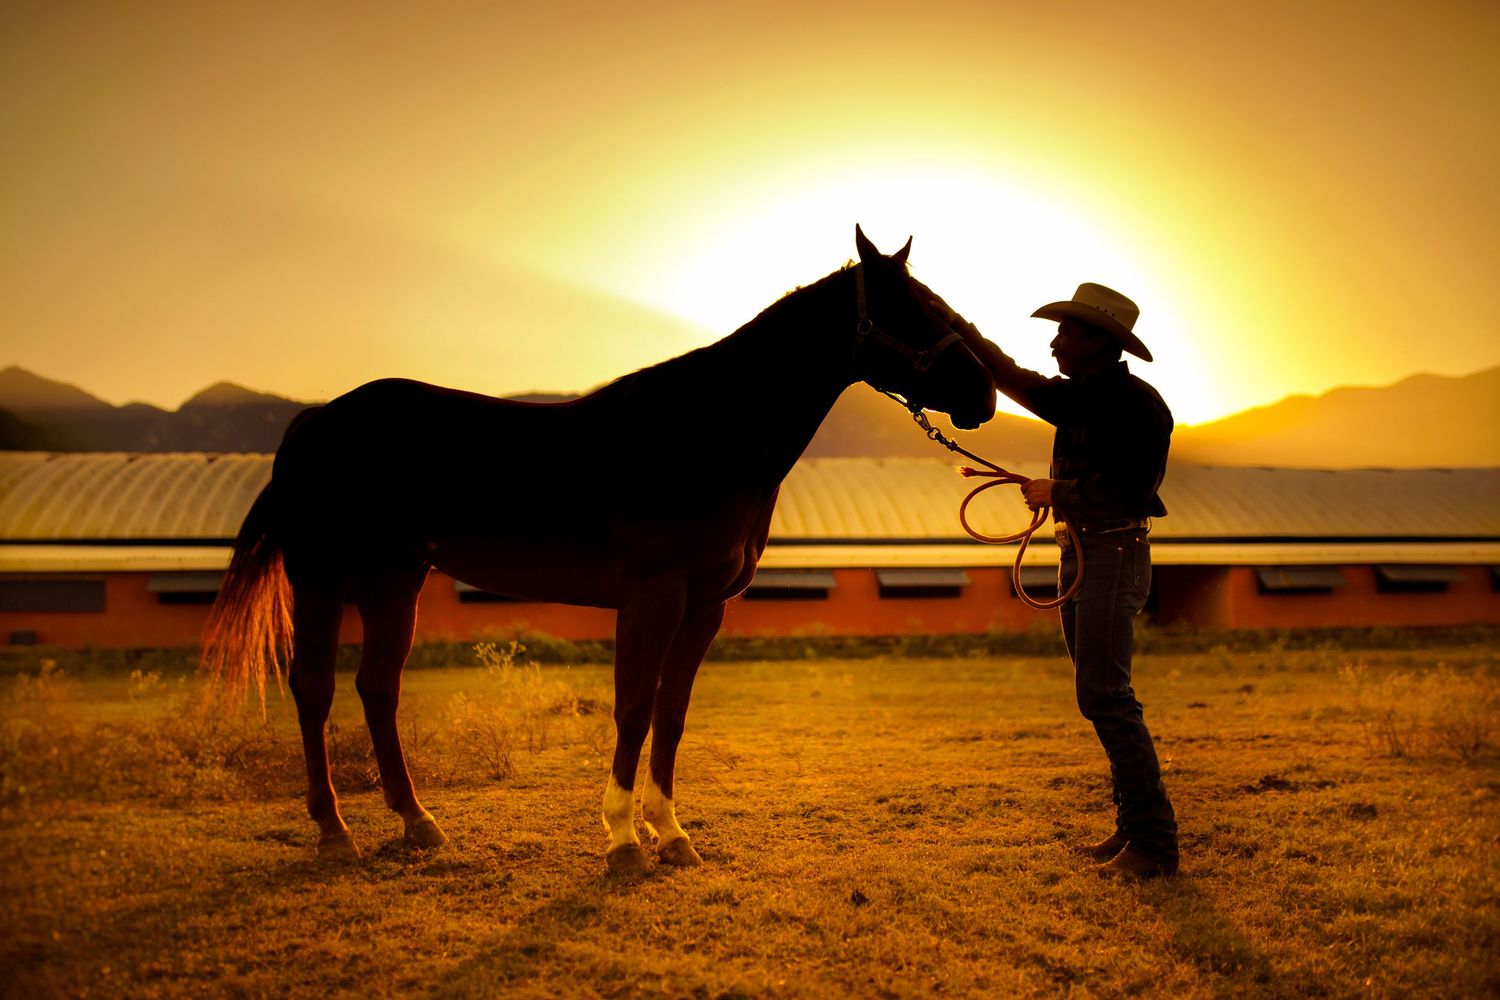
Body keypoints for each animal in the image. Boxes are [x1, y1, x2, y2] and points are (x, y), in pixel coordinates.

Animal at [201, 225, 997, 871]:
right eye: (912, 308)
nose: (984, 393)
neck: (707, 433)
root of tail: (317, 420)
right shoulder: (653, 594)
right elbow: (634, 708)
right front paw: (621, 839)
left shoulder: (704, 608)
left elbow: (671, 714)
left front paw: (671, 835)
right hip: (321, 577)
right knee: (314, 688)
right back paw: (335, 832)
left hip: (393, 580)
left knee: (377, 689)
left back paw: (417, 823)